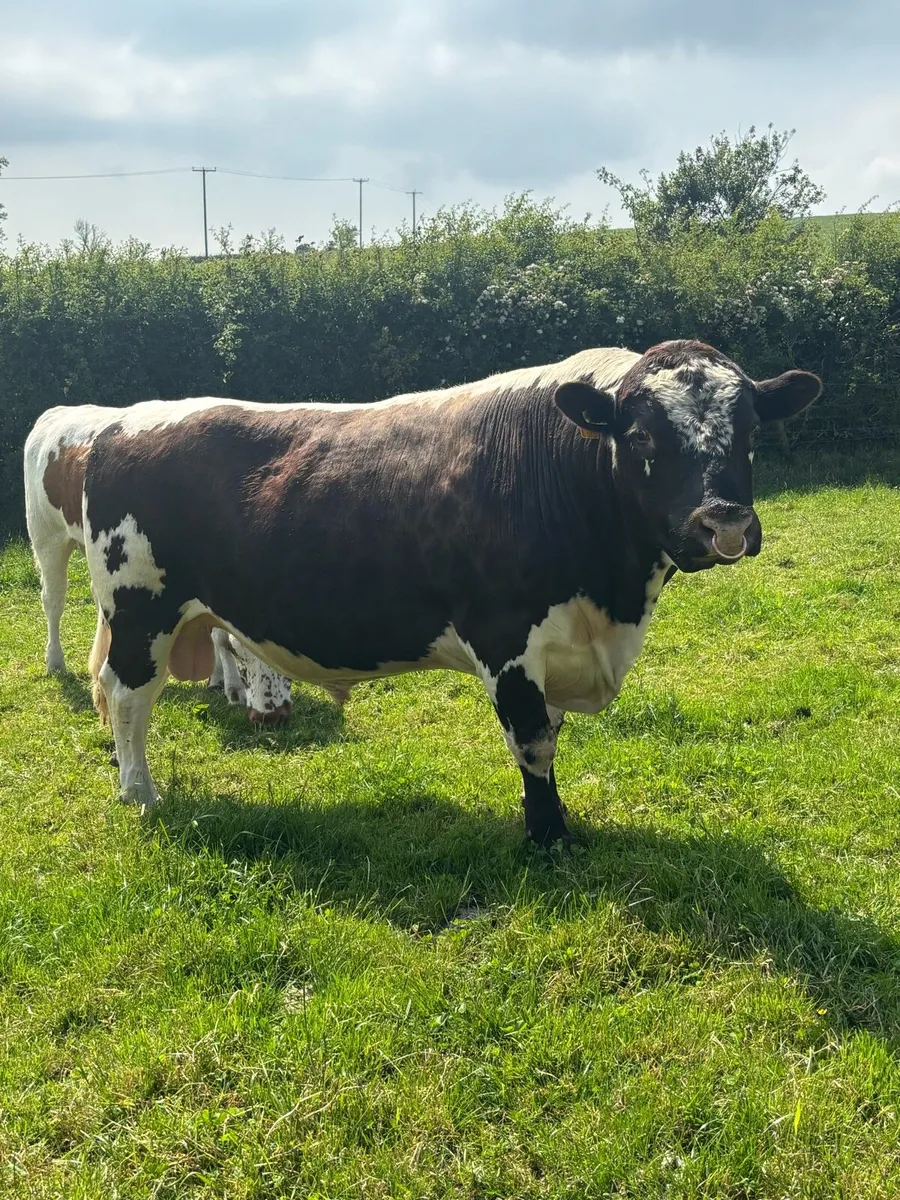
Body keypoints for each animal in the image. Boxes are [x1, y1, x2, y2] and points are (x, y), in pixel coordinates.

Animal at [23, 403, 294, 723]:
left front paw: (216, 678)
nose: (272, 717)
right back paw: (55, 661)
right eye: (243, 652)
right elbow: (218, 636)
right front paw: (232, 687)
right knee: (53, 600)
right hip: (48, 537)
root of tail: (59, 411)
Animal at [81, 341, 821, 845]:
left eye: (751, 432)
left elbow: (550, 733)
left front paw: (548, 820)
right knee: (128, 695)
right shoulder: (506, 639)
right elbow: (533, 741)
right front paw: (549, 837)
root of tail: (122, 423)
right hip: (140, 609)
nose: (724, 522)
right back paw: (139, 792)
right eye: (641, 436)